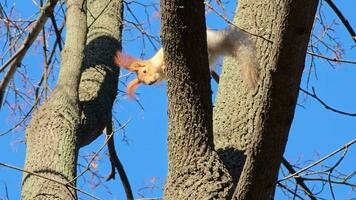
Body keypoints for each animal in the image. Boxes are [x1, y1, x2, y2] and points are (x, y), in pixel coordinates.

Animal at [115, 27, 260, 97]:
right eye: (143, 83)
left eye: (144, 71)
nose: (150, 83)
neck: (159, 71)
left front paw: (165, 65)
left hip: (209, 41)